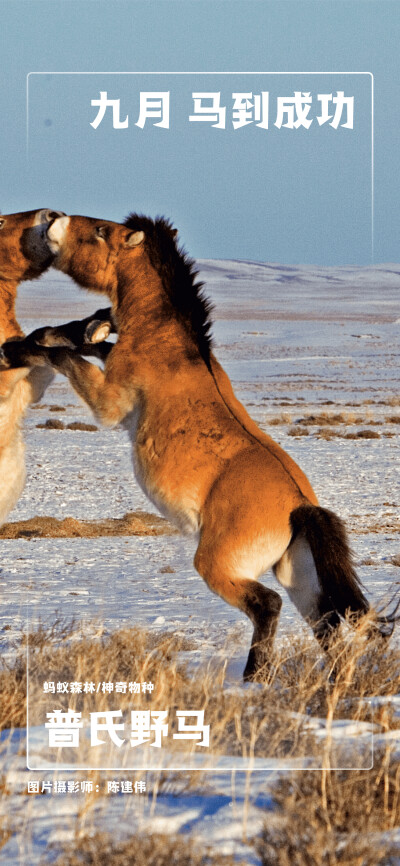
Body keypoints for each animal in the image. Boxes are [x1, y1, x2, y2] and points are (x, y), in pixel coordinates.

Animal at [5, 213, 394, 680]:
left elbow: (65, 357)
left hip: (220, 566)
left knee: (268, 605)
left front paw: (20, 347)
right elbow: (87, 344)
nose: (54, 220)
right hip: (299, 578)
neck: (168, 344)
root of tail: (300, 507)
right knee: (327, 623)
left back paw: (253, 678)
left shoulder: (107, 402)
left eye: (100, 231)